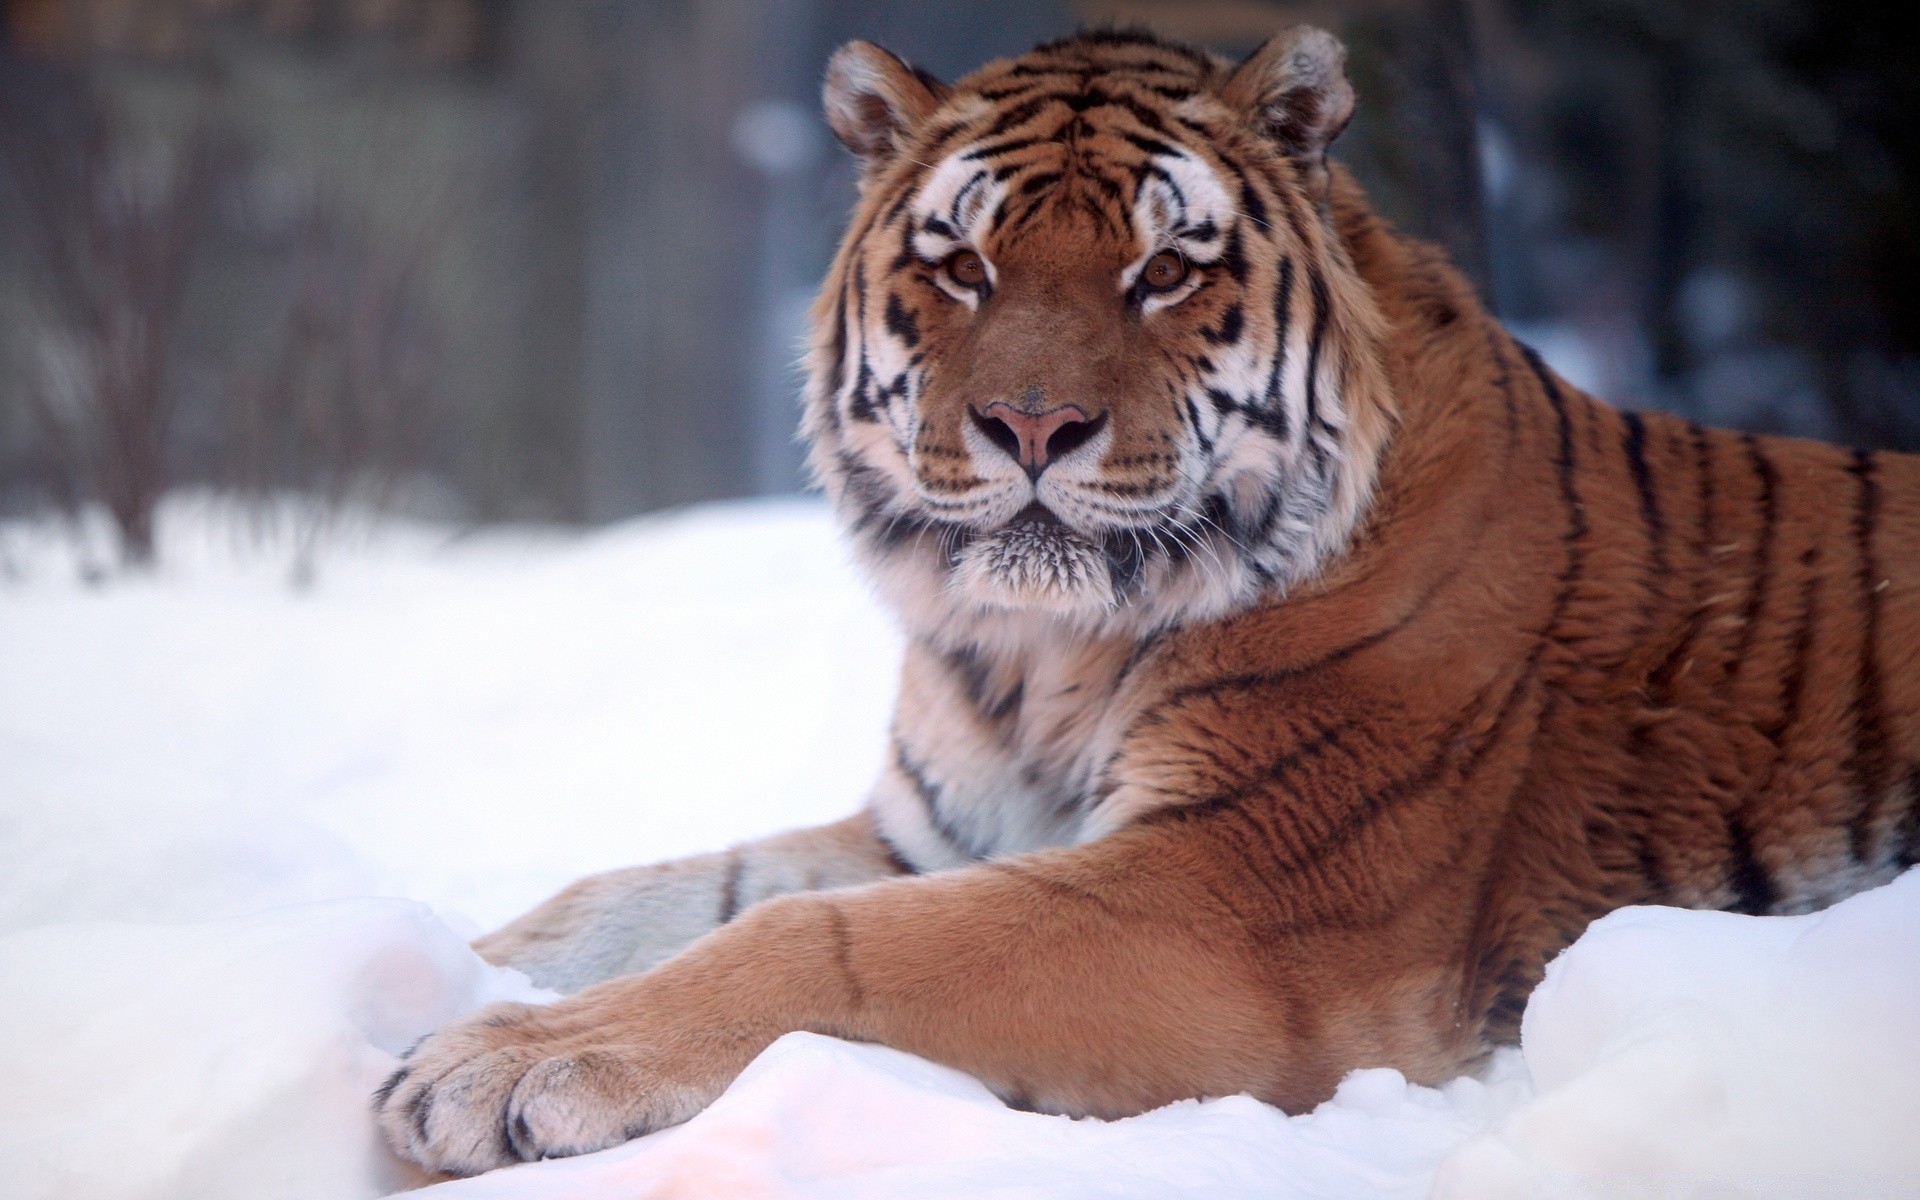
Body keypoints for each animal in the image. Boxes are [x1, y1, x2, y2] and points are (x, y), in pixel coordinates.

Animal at [374, 25, 1920, 1167]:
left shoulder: (1233, 894)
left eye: (1165, 270)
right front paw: (452, 980)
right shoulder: (934, 832)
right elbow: (629, 899)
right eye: (962, 263)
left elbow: (821, 944)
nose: (1032, 426)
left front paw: (499, 1066)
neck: (1035, 657)